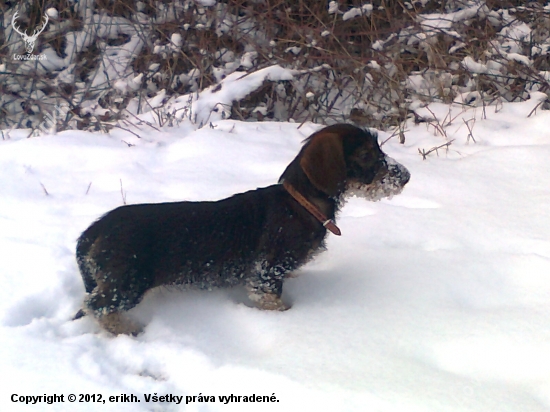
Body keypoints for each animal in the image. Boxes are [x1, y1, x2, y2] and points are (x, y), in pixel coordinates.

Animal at [75, 123, 412, 334]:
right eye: (367, 155)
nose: (406, 176)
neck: (300, 202)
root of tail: (94, 229)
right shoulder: (266, 272)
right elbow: (273, 301)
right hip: (130, 281)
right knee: (95, 305)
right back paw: (127, 329)